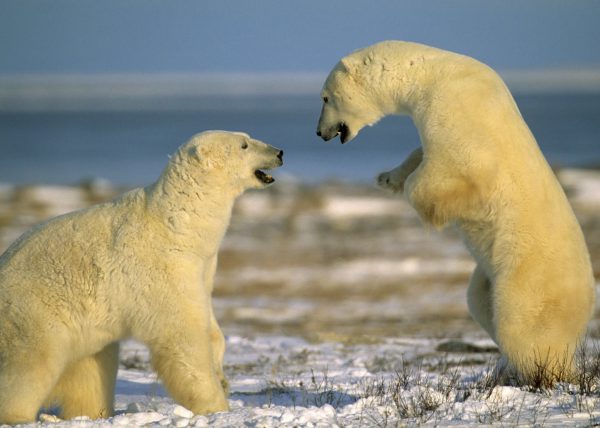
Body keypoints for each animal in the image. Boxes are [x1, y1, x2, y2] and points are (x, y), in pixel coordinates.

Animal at [0, 129, 284, 422]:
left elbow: (207, 316)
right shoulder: (162, 267)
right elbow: (183, 336)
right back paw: (18, 416)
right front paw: (215, 405)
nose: (279, 152)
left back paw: (95, 412)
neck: (178, 224)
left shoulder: (202, 265)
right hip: (35, 311)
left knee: (92, 368)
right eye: (244, 144)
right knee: (30, 365)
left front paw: (223, 378)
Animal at [318, 39, 596, 382]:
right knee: (479, 302)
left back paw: (539, 372)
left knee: (522, 326)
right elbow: (421, 154)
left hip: (529, 277)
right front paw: (387, 178)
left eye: (325, 97)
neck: (433, 73)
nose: (320, 132)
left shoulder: (459, 110)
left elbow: (455, 166)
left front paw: (420, 199)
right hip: (488, 276)